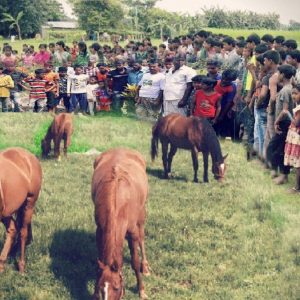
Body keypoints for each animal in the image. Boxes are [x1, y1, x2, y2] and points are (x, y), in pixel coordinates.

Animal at [0, 146, 42, 274]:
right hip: (7, 211)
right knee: (13, 229)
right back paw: (2, 263)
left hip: (29, 203)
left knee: (23, 232)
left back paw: (21, 266)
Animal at [91, 148, 150, 300]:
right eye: (101, 288)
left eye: (117, 288)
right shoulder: (100, 231)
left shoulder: (132, 232)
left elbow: (135, 261)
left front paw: (141, 290)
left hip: (141, 214)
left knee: (142, 238)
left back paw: (145, 265)